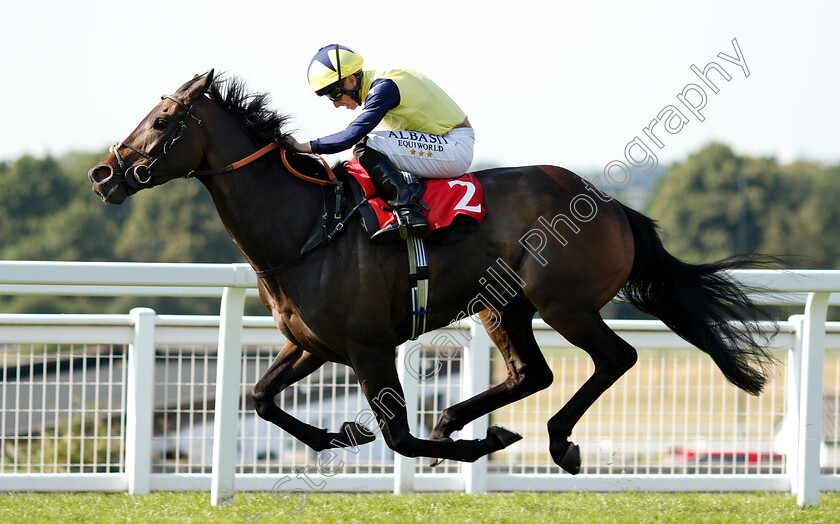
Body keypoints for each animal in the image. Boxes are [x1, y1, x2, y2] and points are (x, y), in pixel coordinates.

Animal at [87, 70, 776, 474]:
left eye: (164, 121)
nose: (104, 173)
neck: (308, 226)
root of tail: (609, 203)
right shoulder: (313, 343)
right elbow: (260, 398)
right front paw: (339, 437)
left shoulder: (368, 347)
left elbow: (398, 437)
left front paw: (474, 444)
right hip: (503, 306)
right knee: (533, 372)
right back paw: (460, 419)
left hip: (565, 302)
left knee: (614, 358)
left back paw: (554, 440)